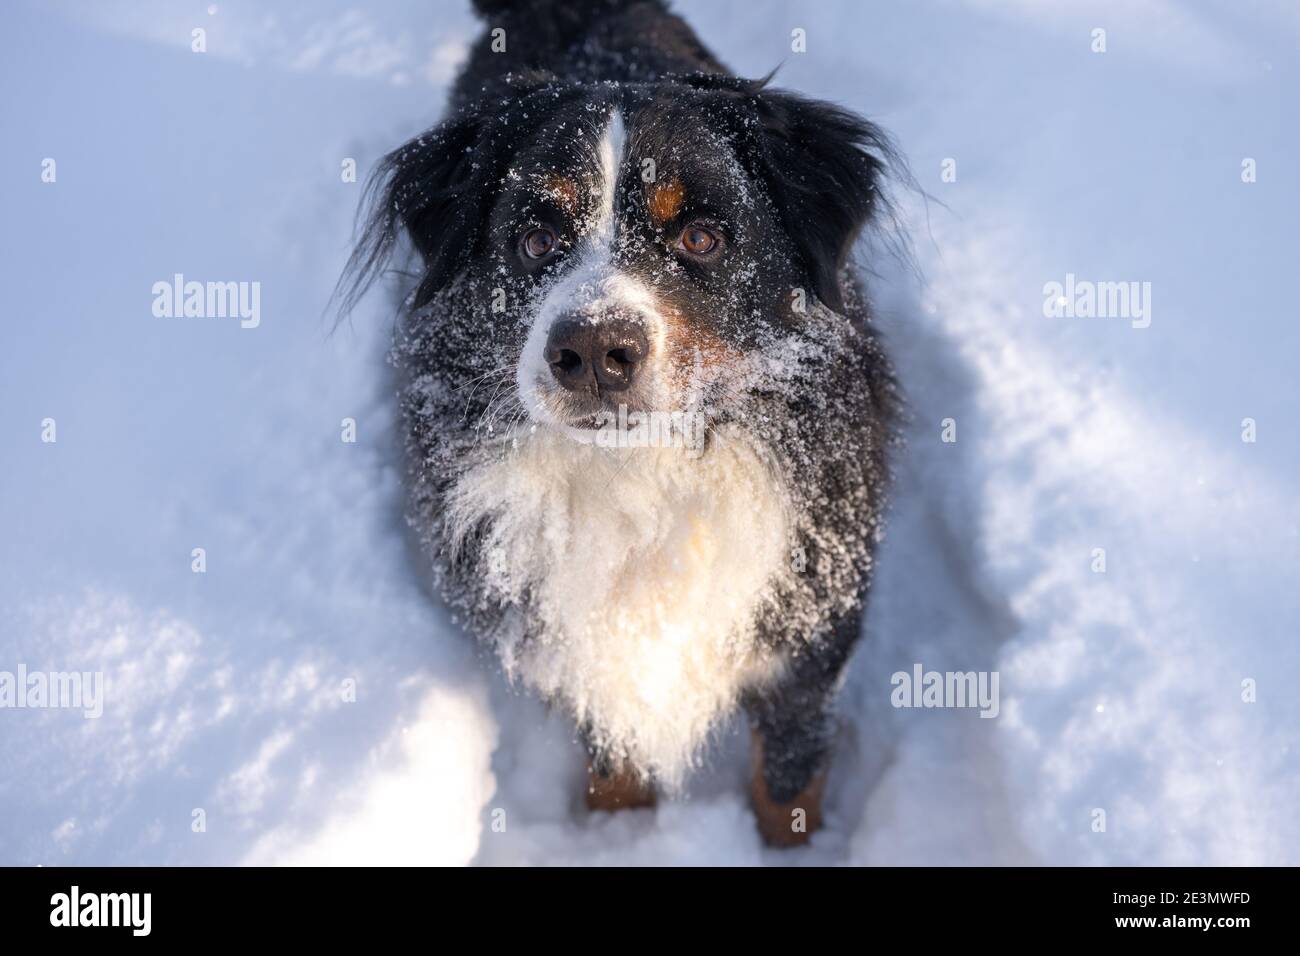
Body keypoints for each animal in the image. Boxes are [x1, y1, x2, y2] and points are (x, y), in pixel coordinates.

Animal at [340, 1, 899, 853]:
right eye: (536, 239)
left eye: (702, 237)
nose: (595, 352)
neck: (647, 476)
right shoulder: (582, 648)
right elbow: (615, 767)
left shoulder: (809, 643)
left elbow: (787, 787)